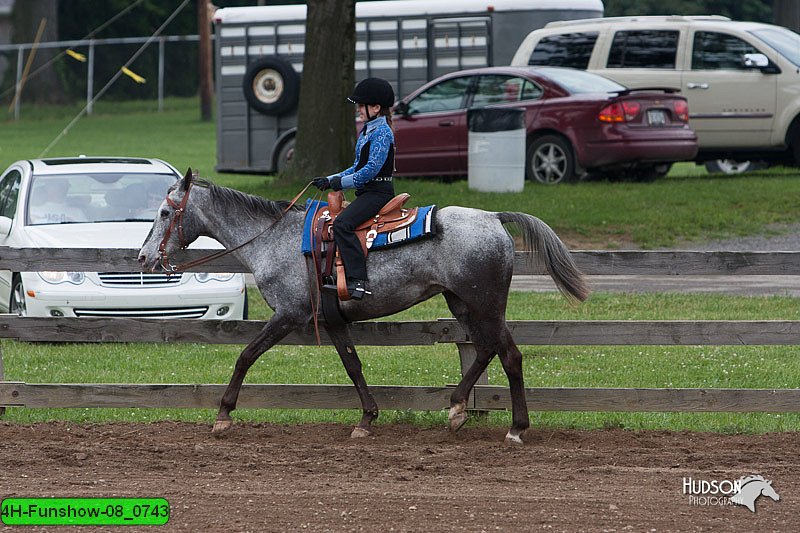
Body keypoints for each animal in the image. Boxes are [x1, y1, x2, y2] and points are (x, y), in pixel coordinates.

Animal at [138, 171, 592, 444]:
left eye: (165, 211)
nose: (143, 258)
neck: (275, 239)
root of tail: (495, 218)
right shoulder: (332, 319)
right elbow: (352, 364)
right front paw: (367, 418)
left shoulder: (288, 315)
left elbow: (246, 356)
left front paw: (223, 415)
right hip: (463, 303)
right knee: (485, 350)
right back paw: (457, 409)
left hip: (486, 304)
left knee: (510, 355)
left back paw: (516, 428)